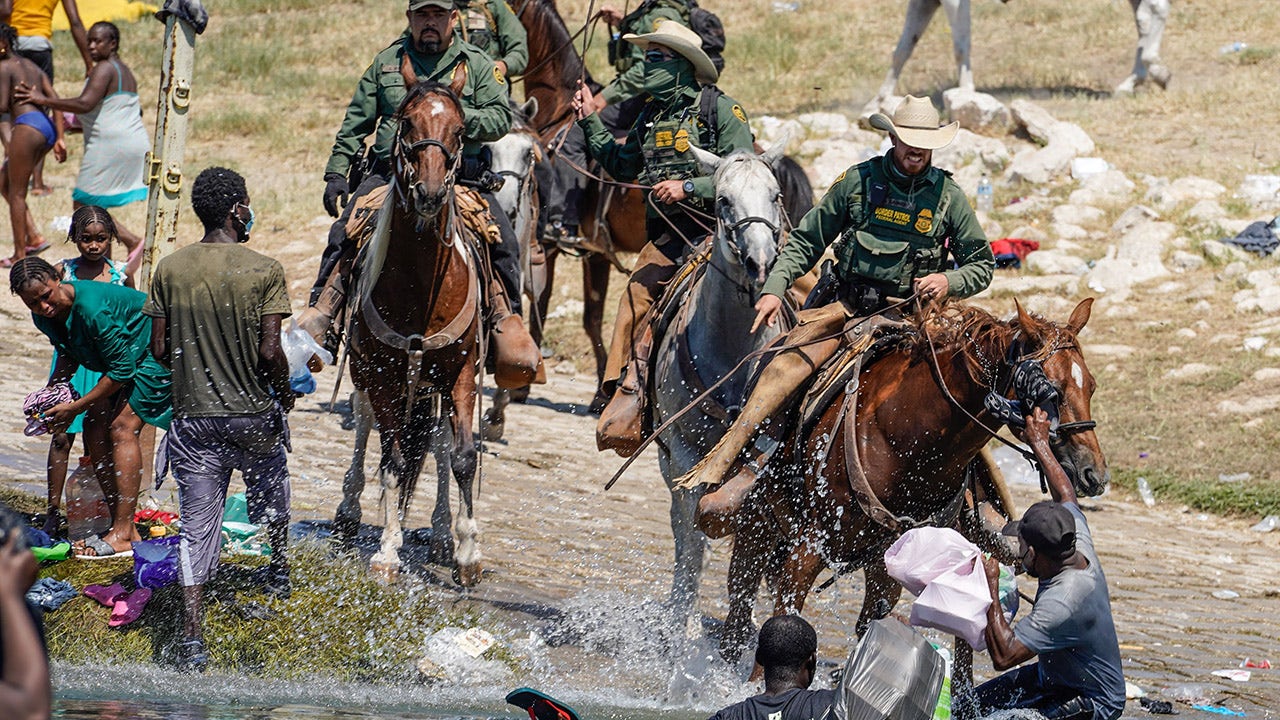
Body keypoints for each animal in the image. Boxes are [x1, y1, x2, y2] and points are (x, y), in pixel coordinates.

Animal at [330, 63, 483, 584]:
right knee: (363, 427)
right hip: (367, 375)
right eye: (406, 121)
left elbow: (462, 457)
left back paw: (440, 534)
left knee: (436, 443)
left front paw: (467, 552)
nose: (430, 193)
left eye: (460, 128)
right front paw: (387, 551)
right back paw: (349, 514)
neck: (420, 286)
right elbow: (393, 460)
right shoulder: (383, 376)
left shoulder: (461, 373)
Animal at [655, 139, 793, 617]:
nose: (760, 262)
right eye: (722, 200)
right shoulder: (684, 454)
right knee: (683, 533)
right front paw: (679, 622)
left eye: (776, 194)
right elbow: (692, 541)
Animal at [721, 295, 1111, 655]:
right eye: (1052, 391)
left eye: (1091, 386)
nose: (1094, 473)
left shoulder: (886, 563)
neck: (906, 438)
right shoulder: (808, 548)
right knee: (738, 608)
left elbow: (870, 628)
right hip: (757, 519)